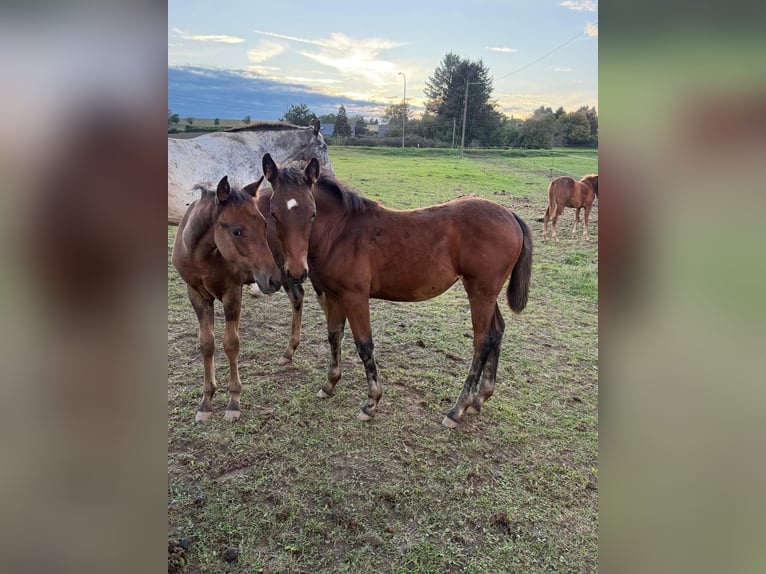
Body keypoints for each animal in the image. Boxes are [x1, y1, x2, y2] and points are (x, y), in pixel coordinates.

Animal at [171, 176, 282, 422]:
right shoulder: (196, 294)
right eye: (237, 231)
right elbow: (207, 343)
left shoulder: (232, 292)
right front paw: (206, 402)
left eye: (264, 225)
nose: (273, 279)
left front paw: (233, 402)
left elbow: (231, 343)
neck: (201, 256)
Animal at [261, 153, 533, 428]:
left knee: (481, 342)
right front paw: (329, 384)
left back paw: (457, 409)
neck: (340, 233)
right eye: (273, 214)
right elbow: (334, 335)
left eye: (313, 213)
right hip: (486, 293)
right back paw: (480, 399)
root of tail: (511, 215)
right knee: (496, 331)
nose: (296, 272)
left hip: (480, 291)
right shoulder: (333, 295)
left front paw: (372, 402)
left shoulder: (355, 296)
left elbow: (364, 345)